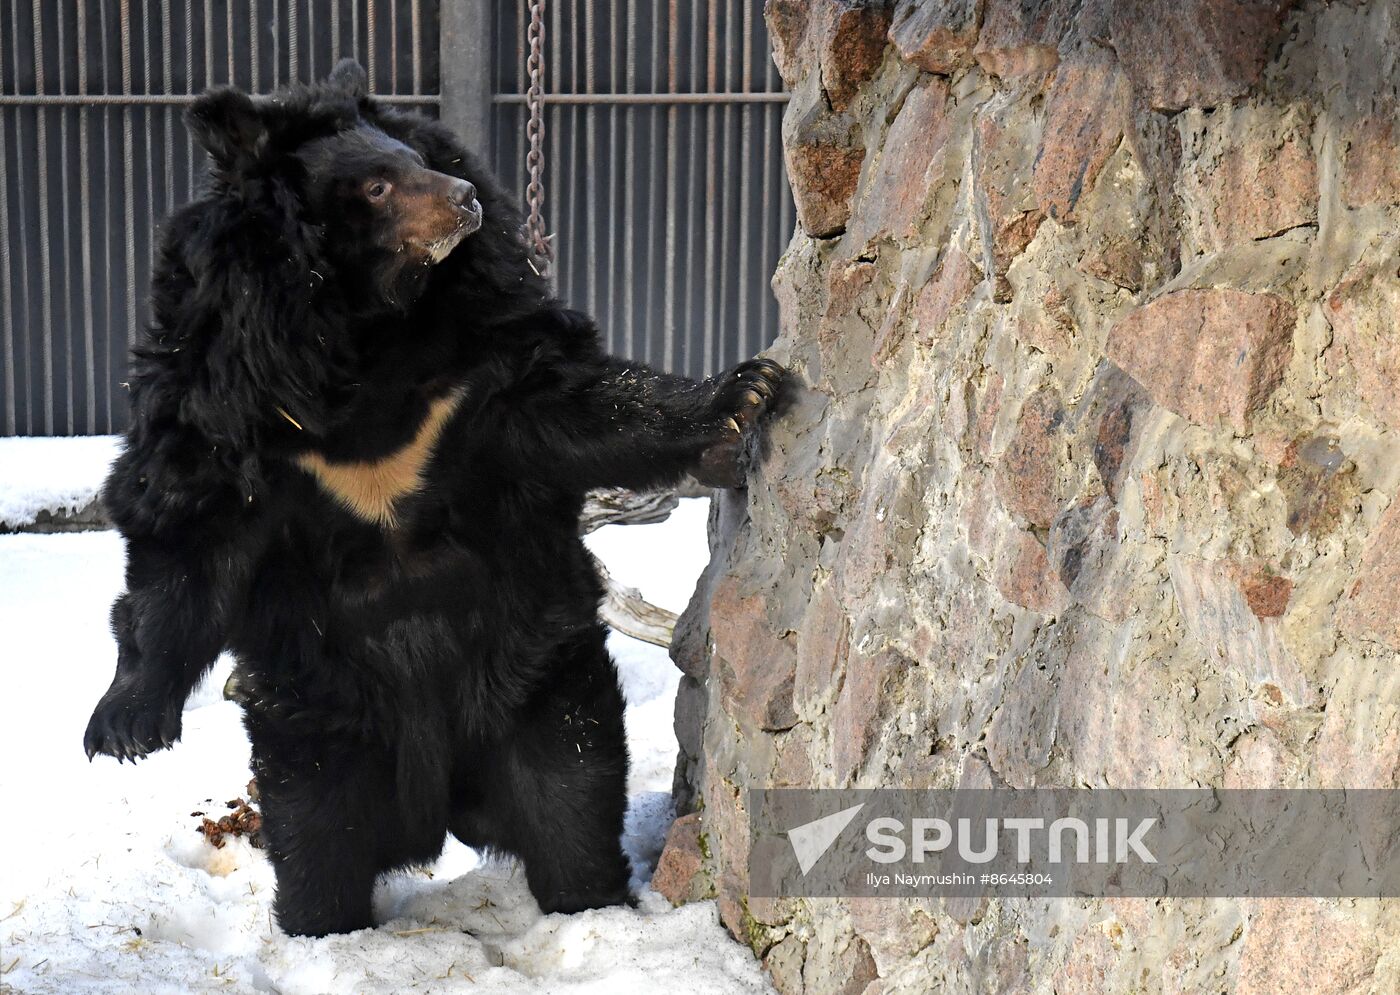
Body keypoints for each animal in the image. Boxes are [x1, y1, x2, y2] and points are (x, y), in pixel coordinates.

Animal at [81, 62, 789, 940]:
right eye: (379, 185)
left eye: (417, 157)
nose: (466, 198)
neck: (365, 329)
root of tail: (444, 804)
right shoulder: (226, 390)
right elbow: (186, 532)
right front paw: (124, 728)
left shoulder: (477, 365)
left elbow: (576, 399)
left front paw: (744, 394)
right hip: (321, 719)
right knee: (315, 838)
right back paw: (324, 928)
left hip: (537, 685)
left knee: (572, 797)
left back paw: (592, 904)